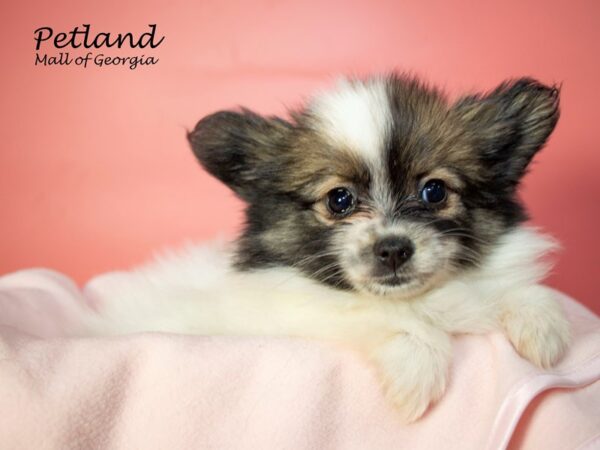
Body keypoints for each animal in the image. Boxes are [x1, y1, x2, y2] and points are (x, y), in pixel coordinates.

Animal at [88, 74, 572, 422]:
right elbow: (380, 319)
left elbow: (510, 292)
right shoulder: (299, 313)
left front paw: (541, 325)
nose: (393, 250)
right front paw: (416, 372)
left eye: (434, 191)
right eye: (339, 200)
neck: (419, 300)